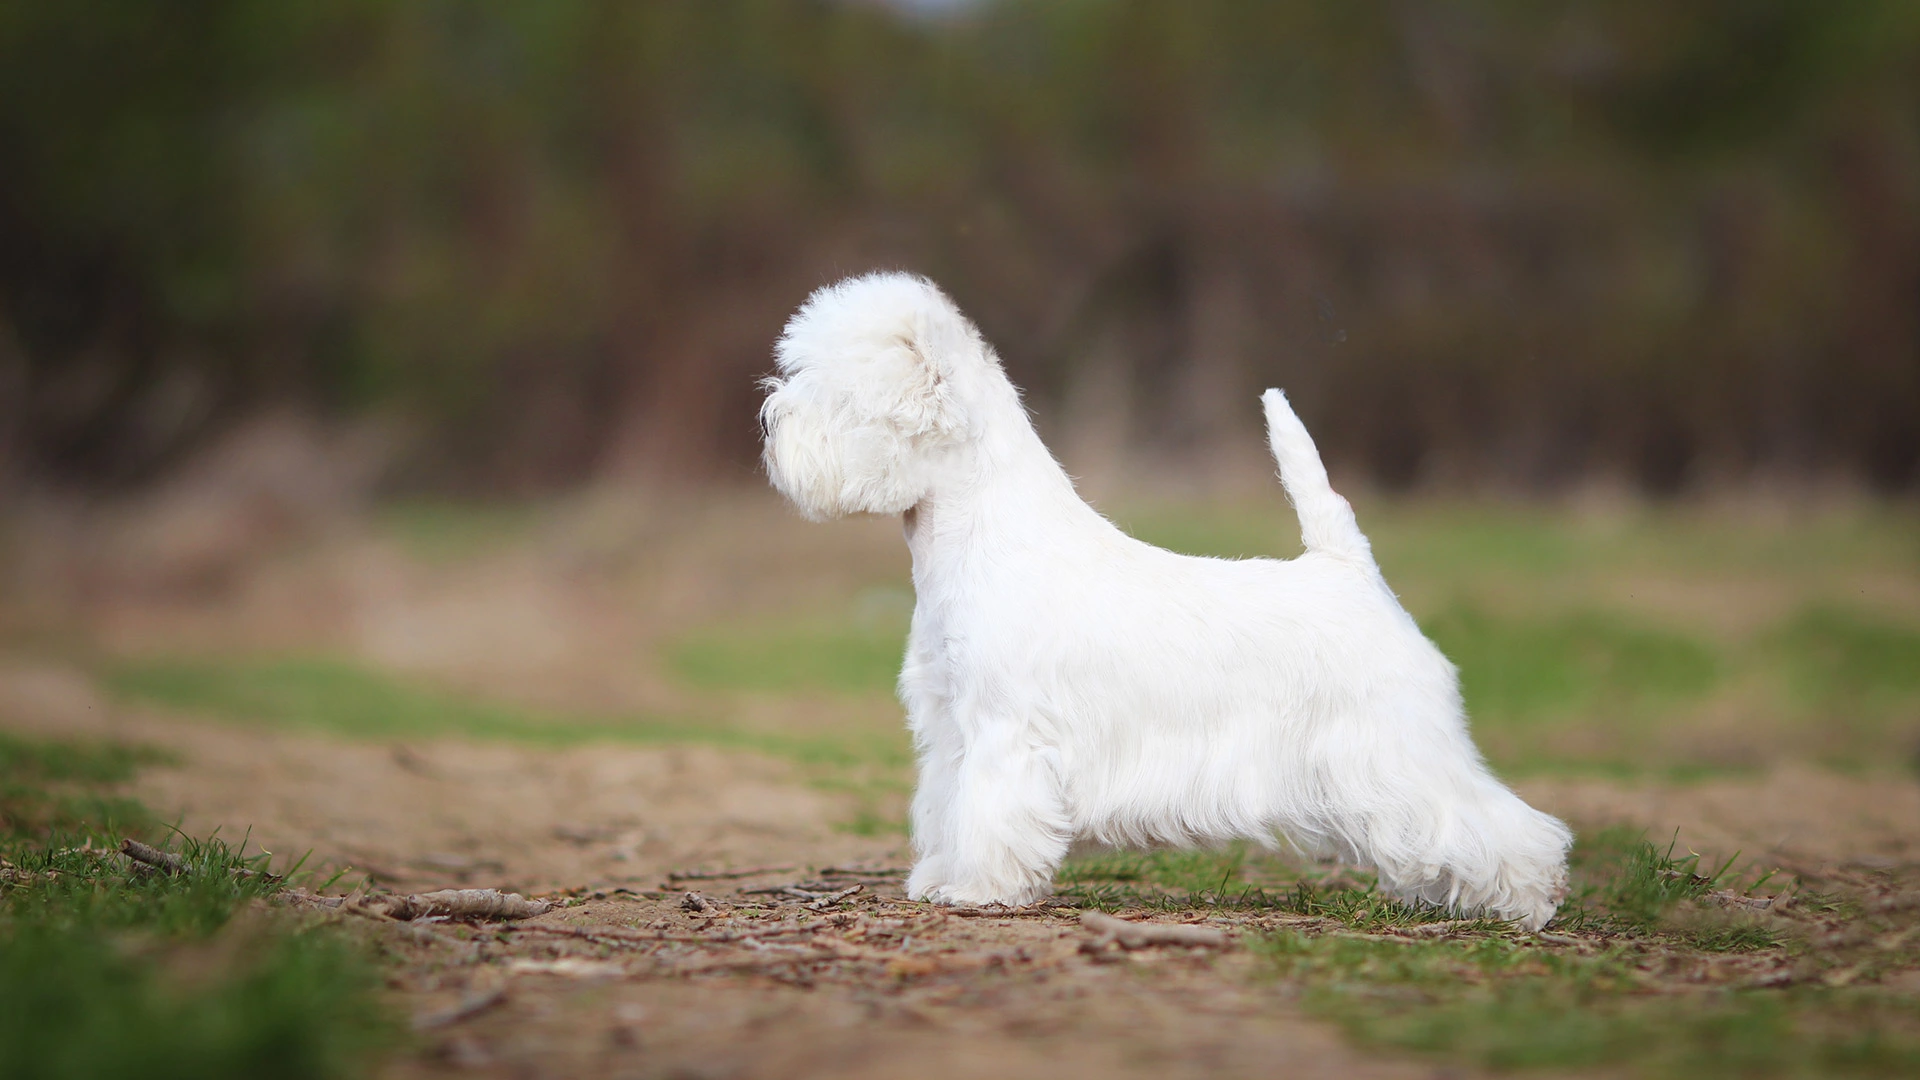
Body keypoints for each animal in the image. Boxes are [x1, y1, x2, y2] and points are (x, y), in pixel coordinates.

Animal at [756, 269, 1566, 926]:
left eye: (829, 391)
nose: (770, 423)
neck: (974, 534)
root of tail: (1350, 569)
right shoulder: (952, 728)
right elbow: (949, 807)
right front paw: (941, 878)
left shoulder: (1006, 732)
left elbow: (990, 815)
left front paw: (979, 891)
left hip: (1395, 747)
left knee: (1497, 823)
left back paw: (1529, 906)